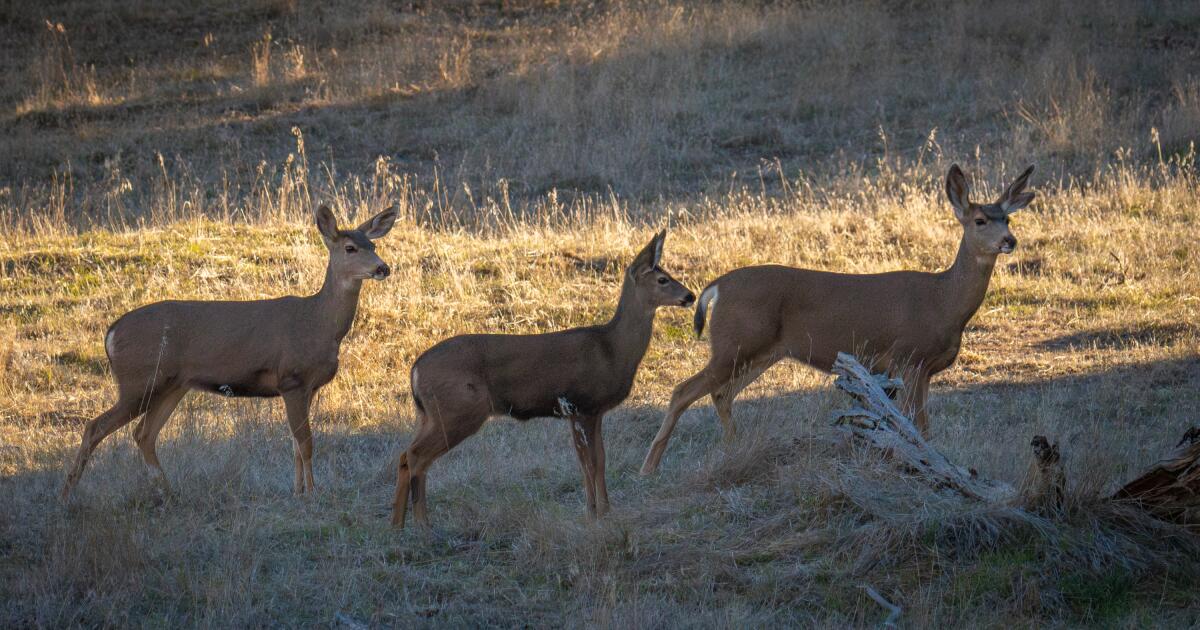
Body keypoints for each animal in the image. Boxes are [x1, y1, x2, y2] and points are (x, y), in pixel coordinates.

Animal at [59, 204, 398, 499]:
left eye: (373, 244)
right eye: (350, 248)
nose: (383, 268)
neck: (319, 324)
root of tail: (111, 333)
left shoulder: (309, 387)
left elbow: (294, 445)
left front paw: (298, 490)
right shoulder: (291, 378)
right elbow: (306, 443)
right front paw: (312, 493)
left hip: (172, 385)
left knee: (144, 434)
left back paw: (168, 490)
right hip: (137, 381)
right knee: (95, 427)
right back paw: (69, 493)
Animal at [393, 229, 696, 525]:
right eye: (663, 279)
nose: (690, 296)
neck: (612, 349)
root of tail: (415, 369)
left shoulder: (588, 411)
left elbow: (596, 461)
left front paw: (600, 510)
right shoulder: (582, 405)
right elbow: (591, 463)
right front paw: (596, 513)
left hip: (429, 414)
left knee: (405, 455)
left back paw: (397, 525)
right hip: (459, 409)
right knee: (417, 456)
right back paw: (421, 524)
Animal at [643, 164, 1036, 475]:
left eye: (1008, 218)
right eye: (980, 220)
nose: (1010, 240)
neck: (943, 302)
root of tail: (716, 287)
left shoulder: (919, 368)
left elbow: (918, 427)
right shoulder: (908, 356)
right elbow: (917, 425)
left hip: (760, 351)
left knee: (722, 393)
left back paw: (734, 449)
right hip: (735, 342)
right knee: (683, 391)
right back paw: (650, 468)